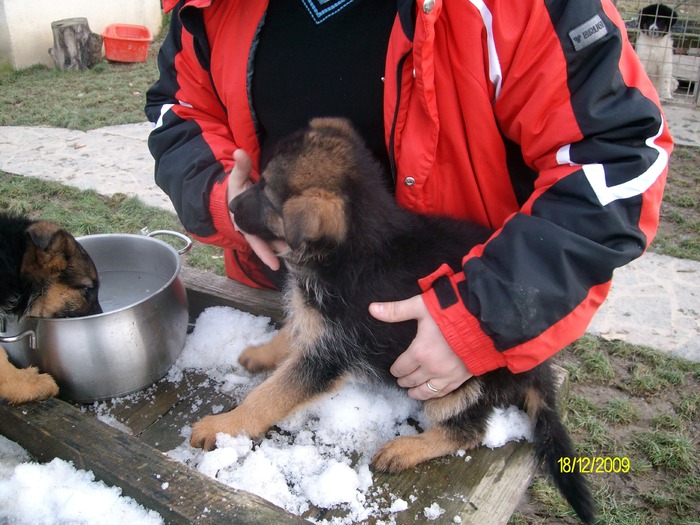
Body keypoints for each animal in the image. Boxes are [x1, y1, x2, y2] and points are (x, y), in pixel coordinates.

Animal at [193, 116, 596, 520]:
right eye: (258, 181)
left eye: (267, 195)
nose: (228, 205)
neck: (353, 247)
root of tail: (537, 370)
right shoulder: (320, 322)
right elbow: (293, 330)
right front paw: (261, 353)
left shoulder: (332, 351)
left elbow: (271, 395)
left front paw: (223, 426)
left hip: (461, 384)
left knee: (469, 431)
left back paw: (407, 449)